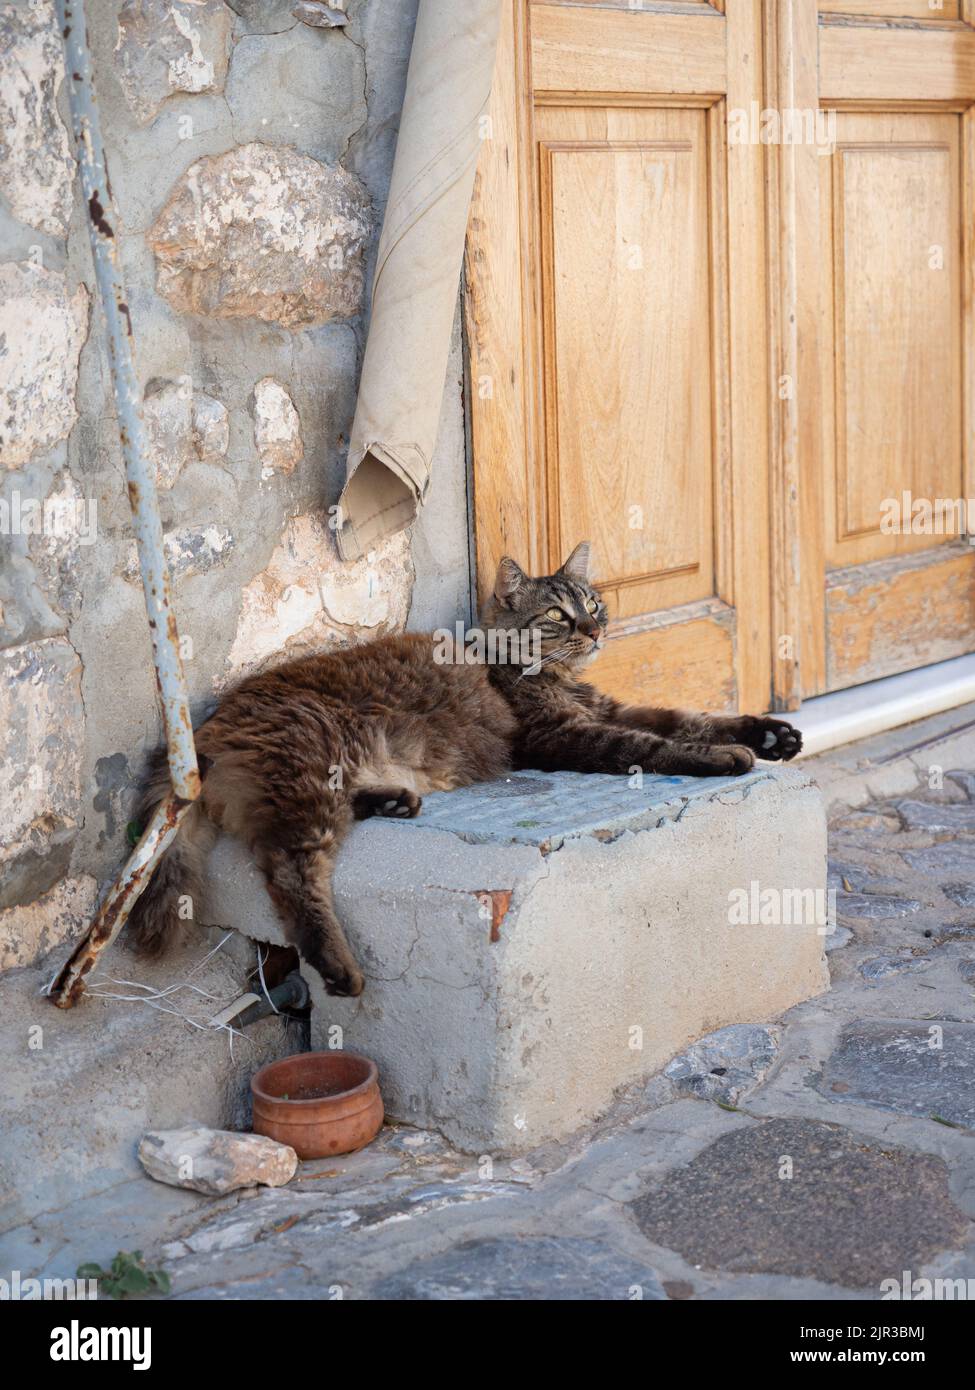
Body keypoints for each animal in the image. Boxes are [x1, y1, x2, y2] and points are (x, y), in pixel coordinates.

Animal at [127, 539, 801, 989]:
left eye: (593, 603)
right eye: (558, 616)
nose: (594, 631)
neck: (541, 671)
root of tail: (206, 727)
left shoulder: (613, 708)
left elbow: (688, 717)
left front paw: (770, 732)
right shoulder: (564, 736)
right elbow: (658, 745)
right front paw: (729, 756)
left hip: (321, 782)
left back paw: (393, 800)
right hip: (309, 773)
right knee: (292, 871)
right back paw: (339, 968)